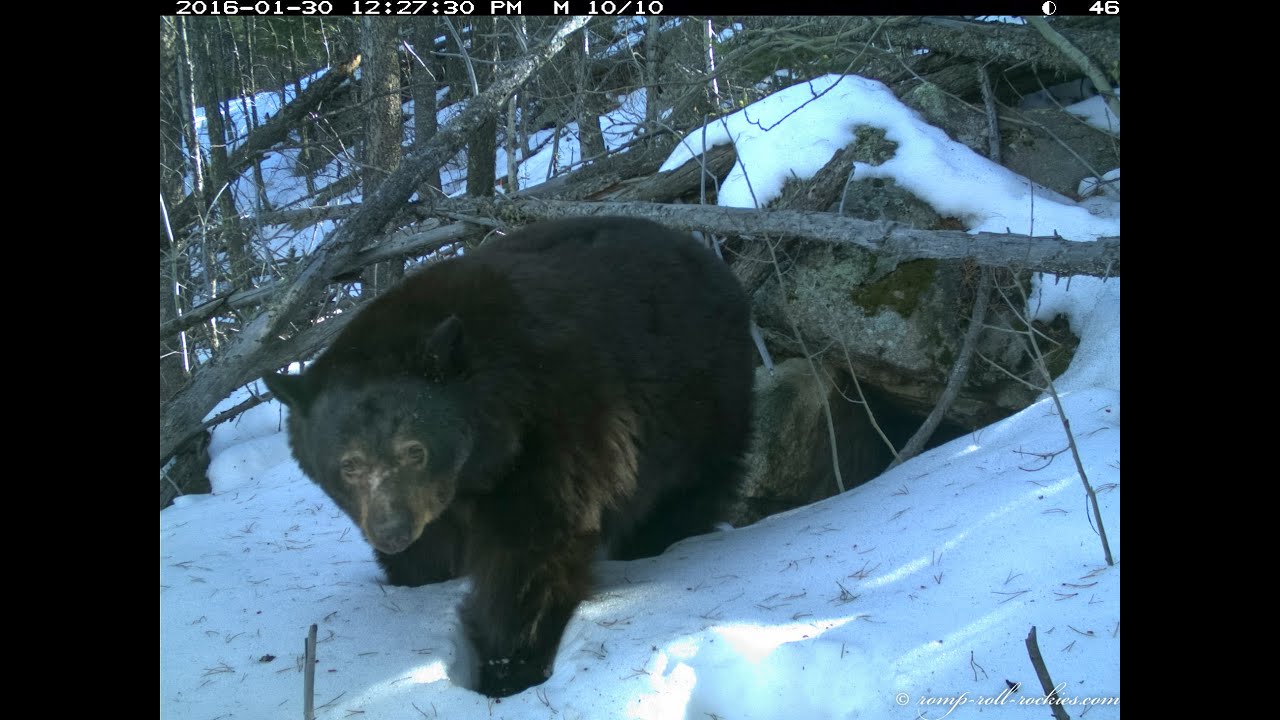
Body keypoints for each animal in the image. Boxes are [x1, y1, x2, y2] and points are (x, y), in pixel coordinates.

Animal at [263, 213, 752, 696]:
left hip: (703, 400)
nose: (392, 531)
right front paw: (416, 575)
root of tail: (703, 251)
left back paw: (654, 540)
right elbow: (432, 550)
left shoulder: (553, 432)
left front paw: (507, 663)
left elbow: (532, 550)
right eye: (349, 464)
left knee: (690, 485)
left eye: (415, 451)